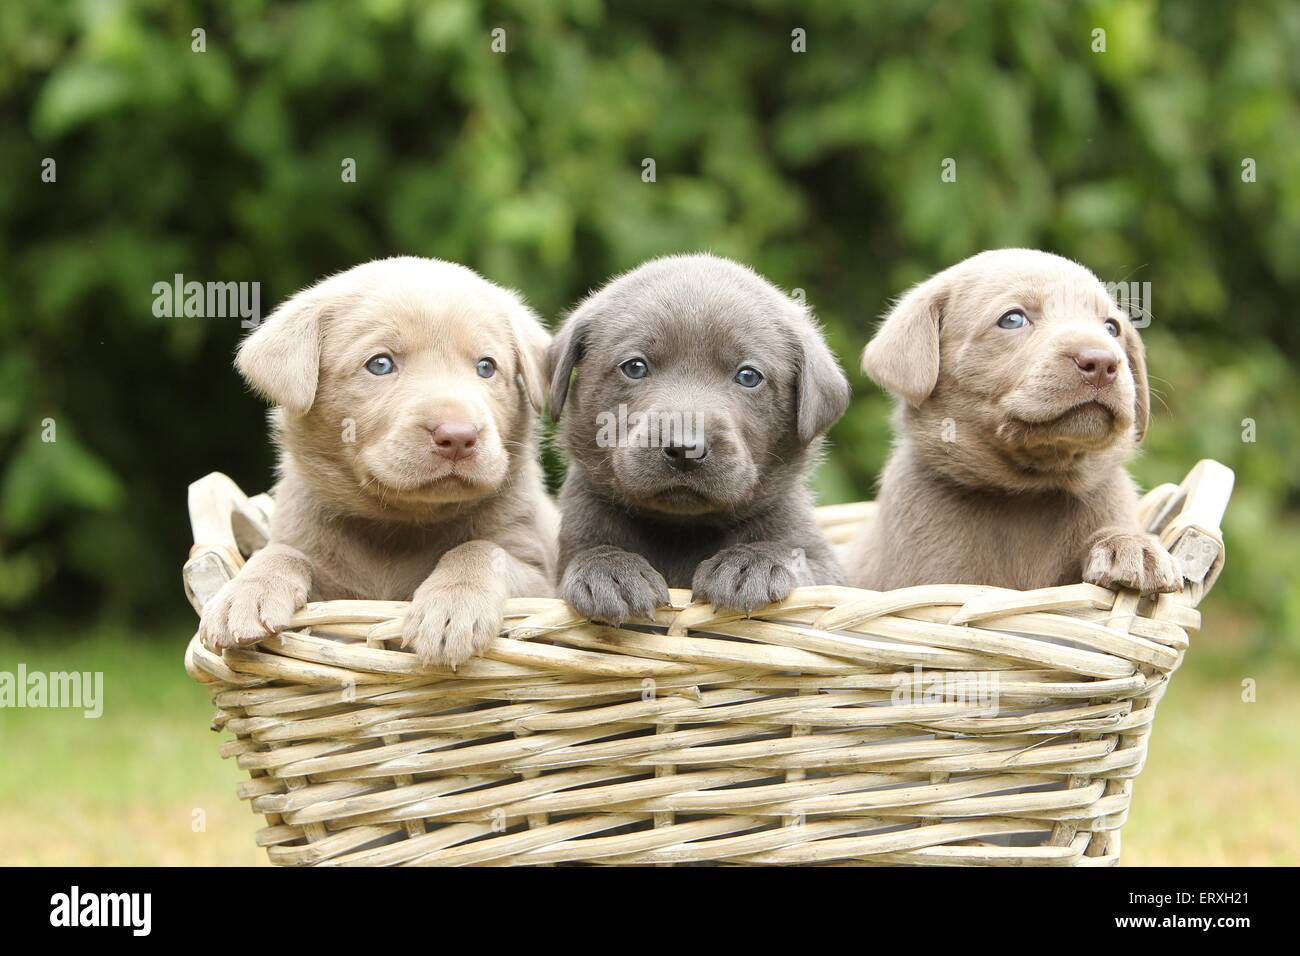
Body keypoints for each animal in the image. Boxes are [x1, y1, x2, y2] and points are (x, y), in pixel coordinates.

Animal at [195, 257, 556, 671]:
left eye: (486, 367)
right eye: (380, 364)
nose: (458, 436)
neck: (398, 528)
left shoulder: (543, 584)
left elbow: (480, 549)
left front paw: (452, 606)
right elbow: (283, 552)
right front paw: (244, 593)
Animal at [548, 252, 852, 621]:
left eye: (749, 376)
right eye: (634, 367)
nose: (684, 449)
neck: (681, 531)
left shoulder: (829, 571)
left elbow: (798, 561)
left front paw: (750, 563)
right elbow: (591, 552)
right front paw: (609, 570)